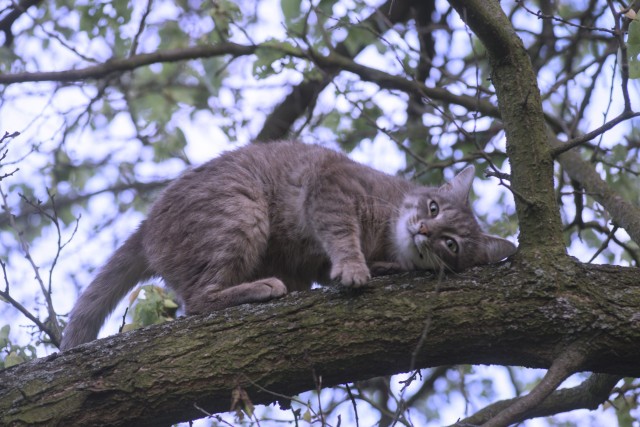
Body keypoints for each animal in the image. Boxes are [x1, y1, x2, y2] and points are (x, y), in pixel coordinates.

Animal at [60, 142, 516, 350]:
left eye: (451, 244)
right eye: (433, 207)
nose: (422, 230)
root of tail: (148, 224)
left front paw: (381, 267)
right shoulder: (331, 189)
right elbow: (342, 234)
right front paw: (355, 267)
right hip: (242, 212)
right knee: (197, 300)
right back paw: (261, 287)